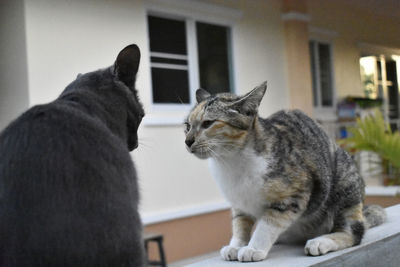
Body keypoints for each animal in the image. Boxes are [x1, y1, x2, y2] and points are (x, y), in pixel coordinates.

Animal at [185, 82, 388, 262]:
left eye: (208, 123)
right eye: (187, 125)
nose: (188, 141)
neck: (232, 161)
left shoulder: (293, 195)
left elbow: (268, 223)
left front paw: (253, 248)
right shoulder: (239, 202)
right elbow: (240, 223)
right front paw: (236, 246)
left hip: (344, 184)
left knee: (354, 233)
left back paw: (321, 241)